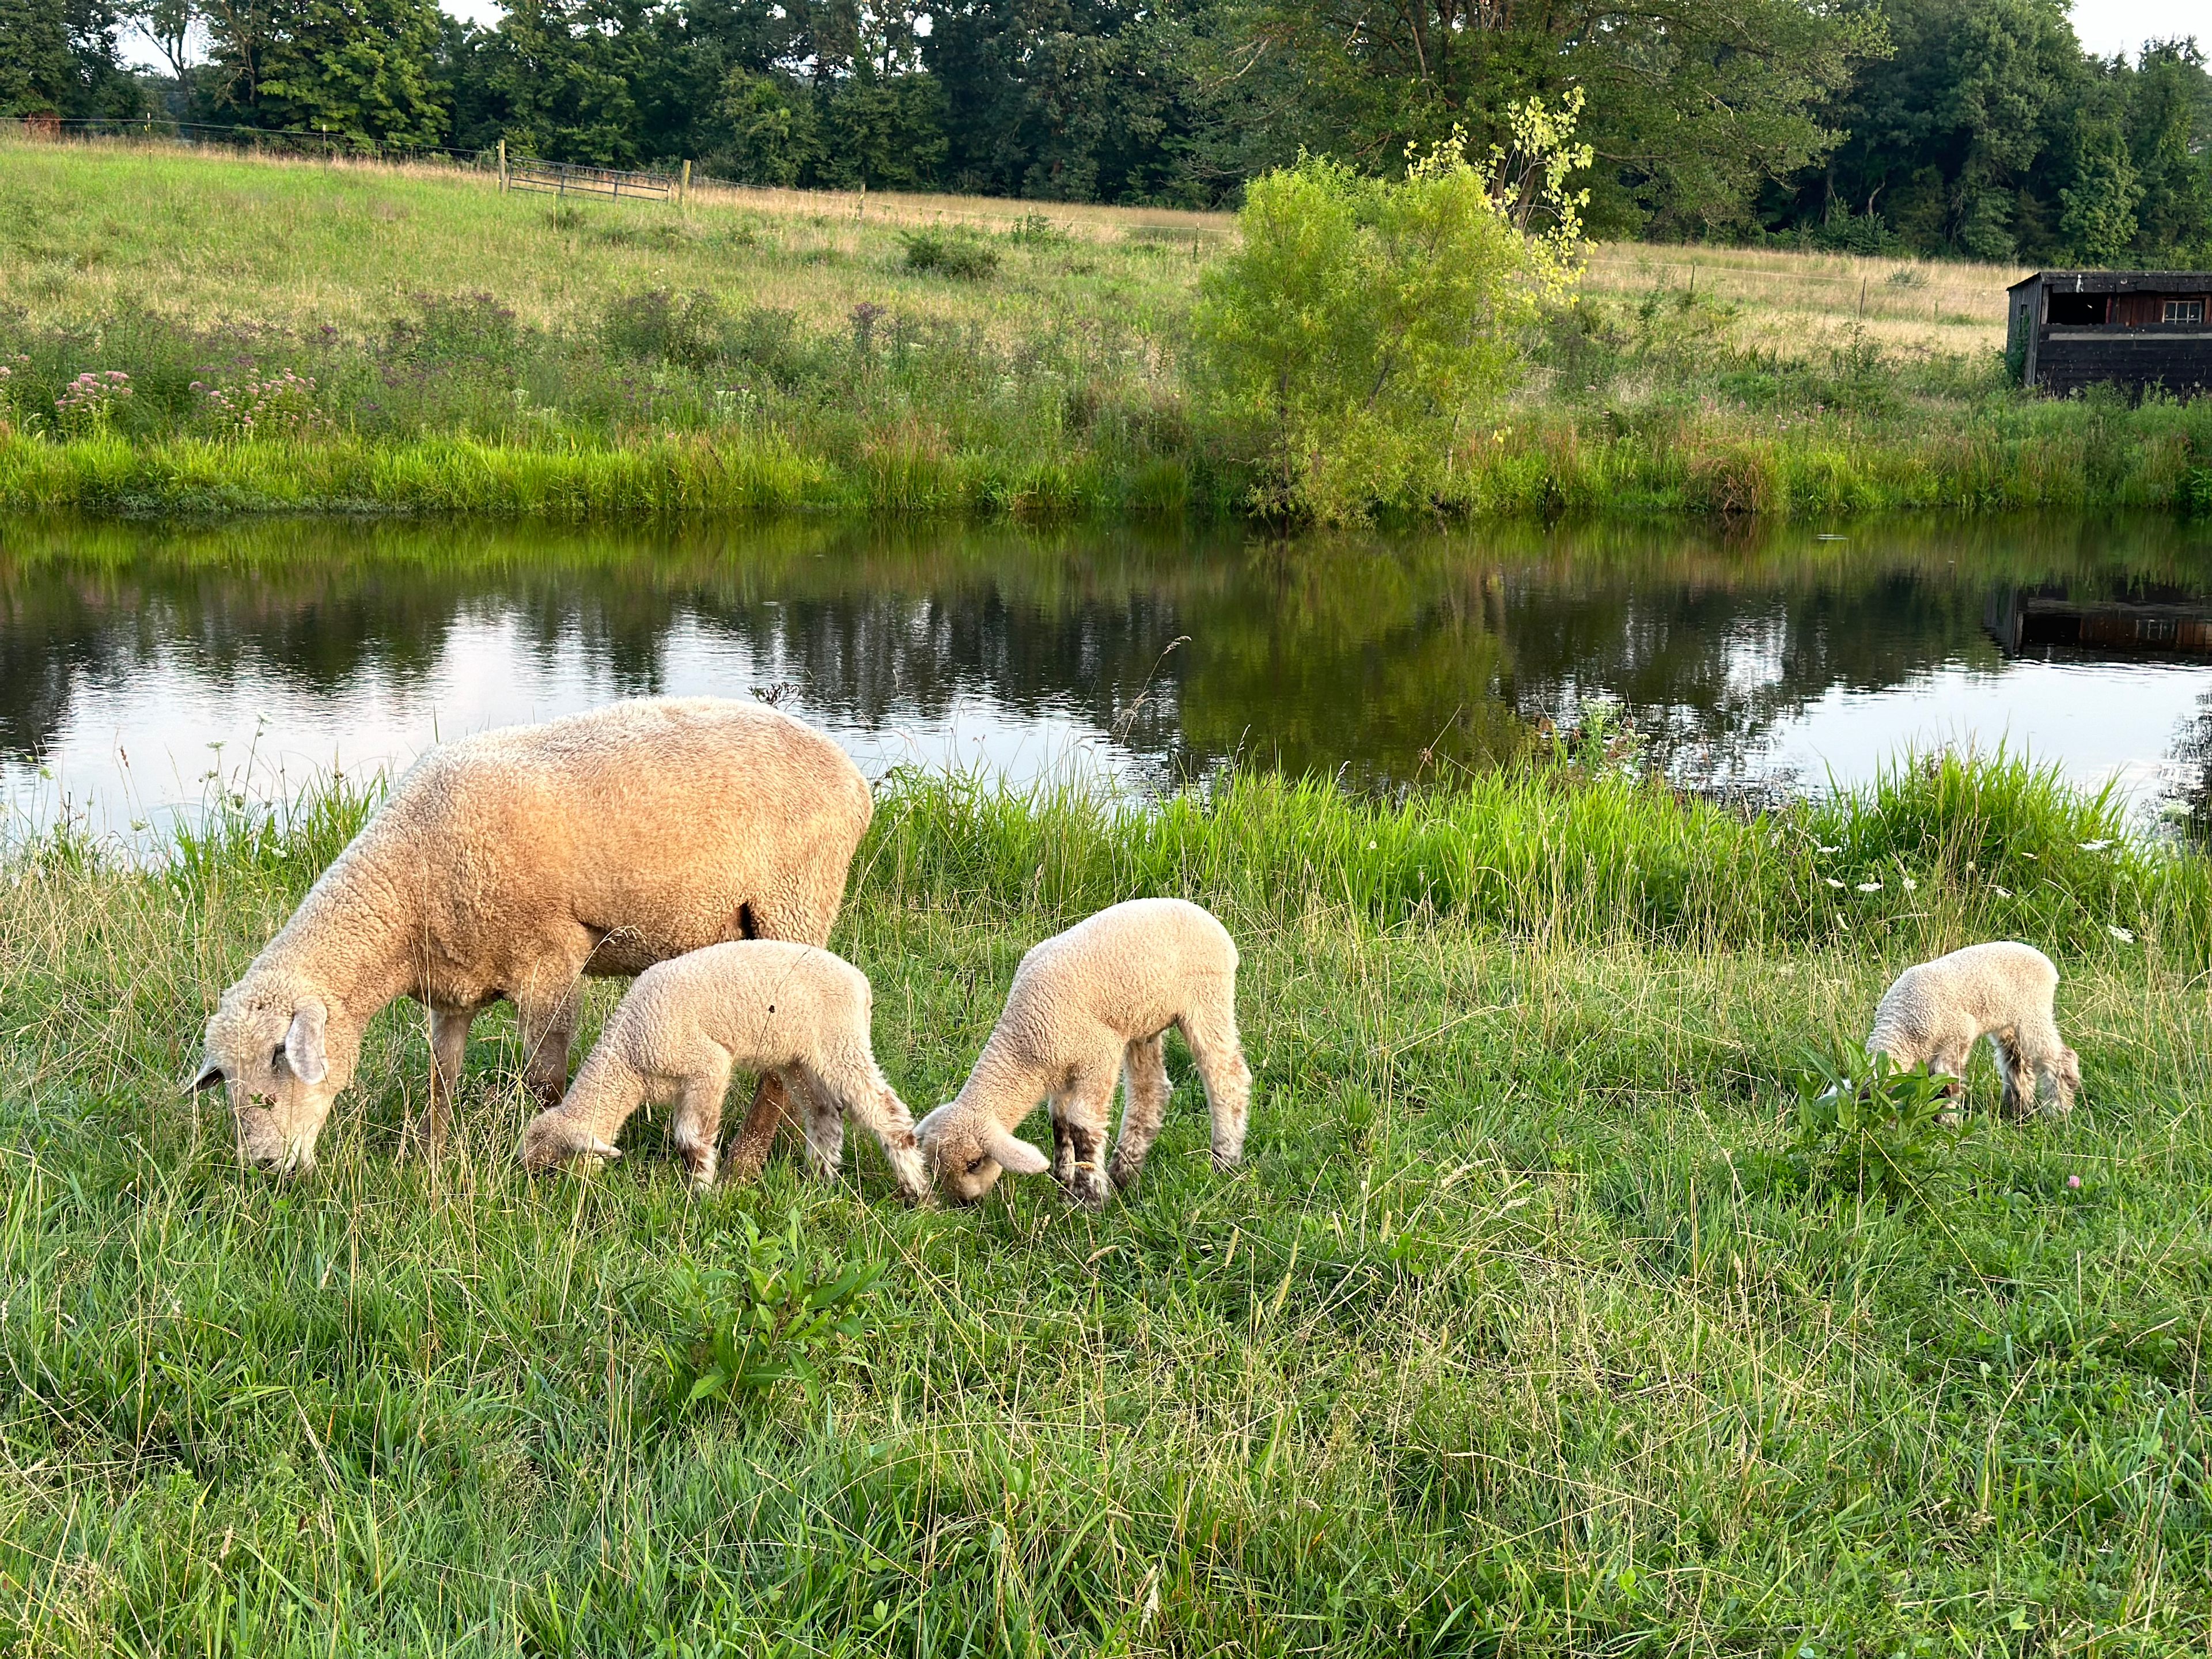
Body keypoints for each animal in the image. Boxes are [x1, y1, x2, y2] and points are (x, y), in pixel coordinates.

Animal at [189, 697, 872, 1177]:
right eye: (226, 1078)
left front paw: (555, 1165)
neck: (407, 886)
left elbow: (544, 1079)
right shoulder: (452, 988)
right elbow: (441, 1076)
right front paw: (433, 1155)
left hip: (796, 902)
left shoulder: (550, 960)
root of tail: (855, 779)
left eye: (279, 1059)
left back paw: (742, 1166)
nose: (266, 1167)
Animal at [520, 941, 929, 1199]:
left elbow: (691, 1139)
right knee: (824, 1113)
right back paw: (819, 1183)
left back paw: (918, 1191)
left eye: (553, 1165)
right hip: (799, 1058)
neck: (627, 1058)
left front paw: (702, 1193)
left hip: (841, 1042)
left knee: (886, 1113)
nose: (544, 1194)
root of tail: (860, 982)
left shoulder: (707, 1065)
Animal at [914, 897, 1252, 1208]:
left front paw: (1089, 1196)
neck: (1024, 1046)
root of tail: (1207, 918)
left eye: (973, 1163)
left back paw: (1224, 1159)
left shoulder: (1097, 1055)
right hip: (1143, 1022)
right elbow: (1060, 1119)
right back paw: (1124, 1172)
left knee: (1227, 1079)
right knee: (1151, 1091)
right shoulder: (1063, 1070)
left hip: (1207, 998)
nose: (964, 1203)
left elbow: (1082, 1123)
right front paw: (1064, 1177)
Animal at [1867, 940, 2081, 1118]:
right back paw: (2017, 1108)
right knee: (2017, 1062)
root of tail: (2047, 964)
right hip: (2008, 1023)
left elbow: (1947, 1083)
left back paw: (2058, 1109)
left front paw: (1947, 1121)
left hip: (2033, 1015)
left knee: (2060, 1059)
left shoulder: (1957, 1036)